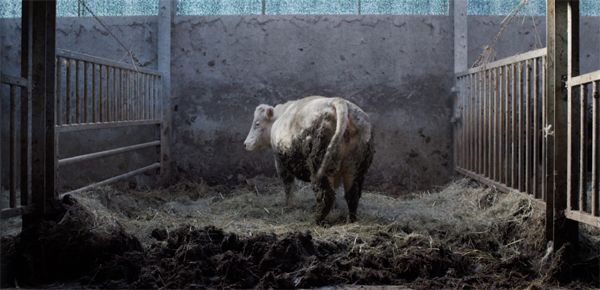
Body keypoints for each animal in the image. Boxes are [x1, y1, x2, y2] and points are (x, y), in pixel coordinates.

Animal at [244, 95, 376, 224]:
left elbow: (288, 187)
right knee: (352, 194)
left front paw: (287, 207)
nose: (245, 144)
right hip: (354, 169)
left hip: (319, 165)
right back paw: (350, 220)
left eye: (257, 123)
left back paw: (317, 220)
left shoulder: (281, 163)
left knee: (326, 195)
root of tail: (339, 101)